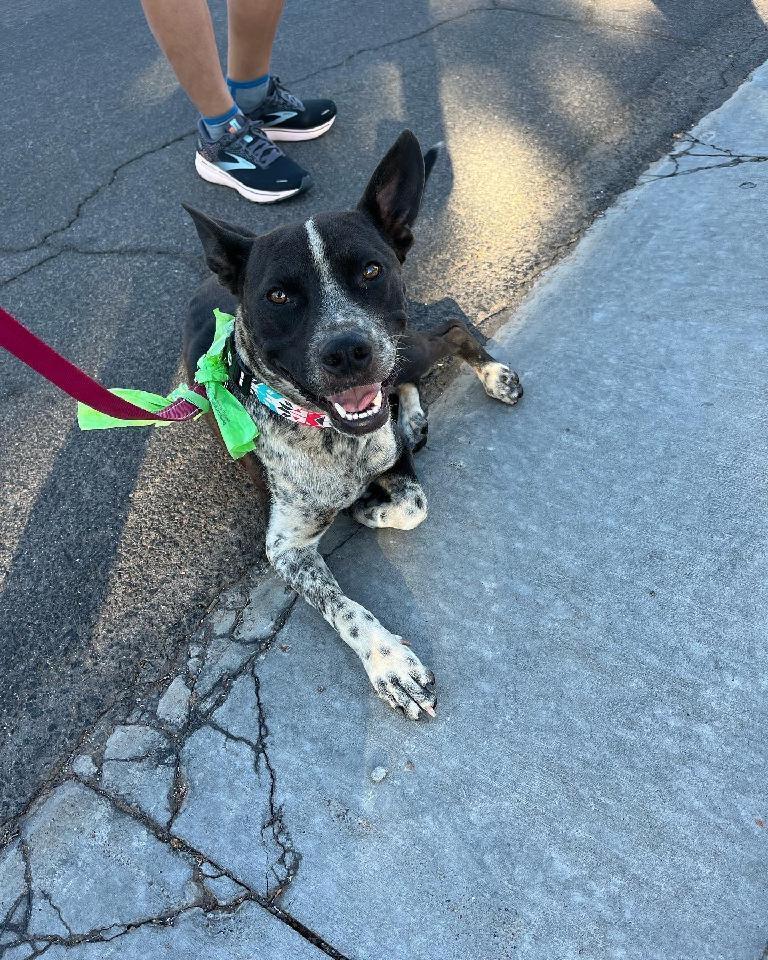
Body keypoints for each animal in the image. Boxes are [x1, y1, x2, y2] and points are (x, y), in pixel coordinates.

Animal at [183, 129, 524, 720]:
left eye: (370, 271)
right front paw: (391, 664)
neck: (328, 434)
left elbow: (412, 504)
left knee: (451, 328)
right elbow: (344, 608)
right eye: (278, 295)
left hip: (402, 347)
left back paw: (490, 376)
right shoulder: (287, 547)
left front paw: (369, 508)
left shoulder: (389, 454)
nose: (347, 351)